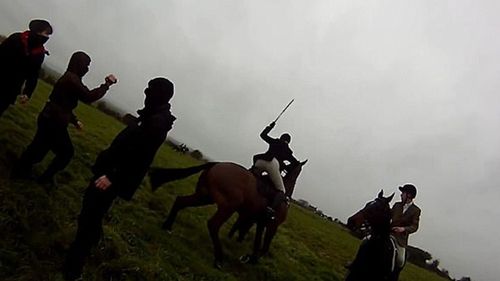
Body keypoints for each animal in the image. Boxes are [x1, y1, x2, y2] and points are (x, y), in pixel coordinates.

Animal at [149, 160, 304, 266]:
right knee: (213, 225)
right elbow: (264, 248)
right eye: (299, 171)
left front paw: (249, 258)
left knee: (180, 201)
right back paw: (219, 259)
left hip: (204, 197)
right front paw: (251, 259)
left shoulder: (260, 222)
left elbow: (257, 243)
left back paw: (167, 227)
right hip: (229, 205)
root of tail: (217, 164)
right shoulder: (273, 225)